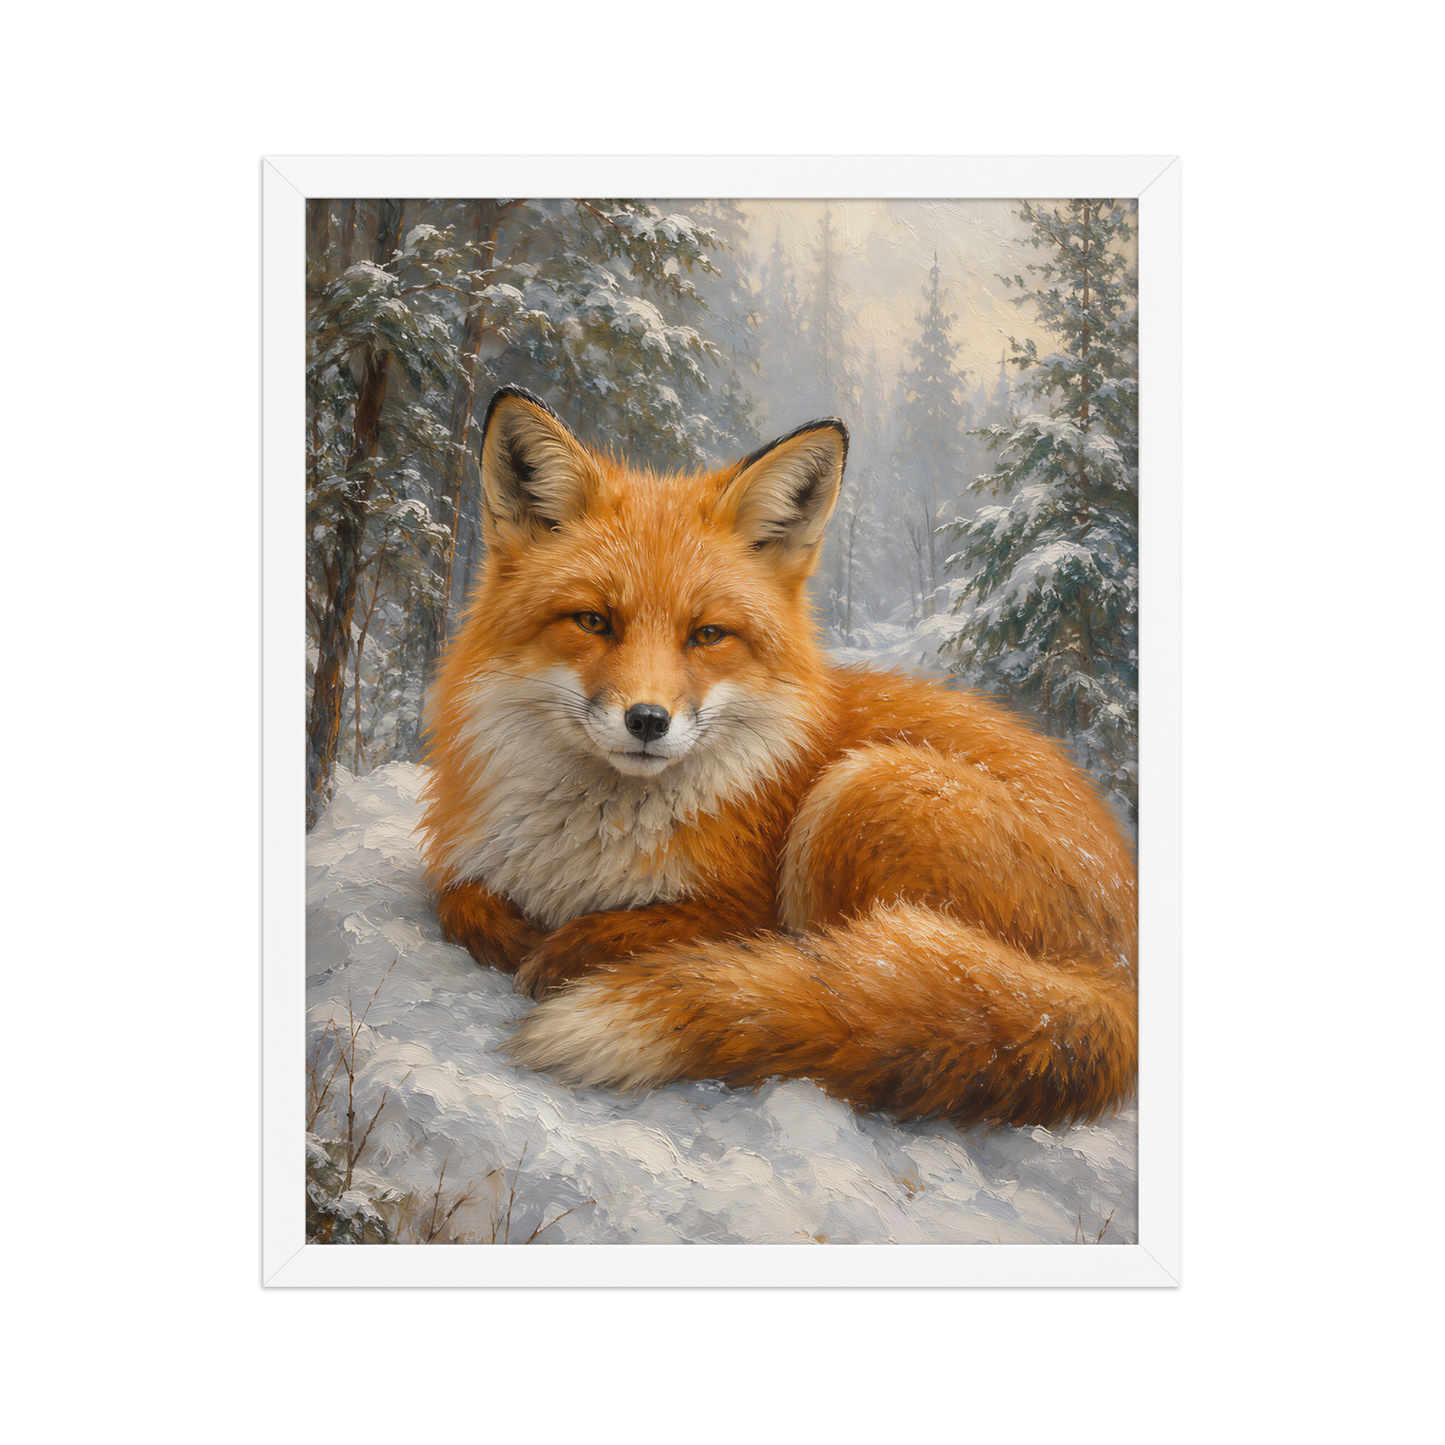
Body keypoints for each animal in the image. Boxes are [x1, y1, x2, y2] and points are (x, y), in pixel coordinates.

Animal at [418, 385, 1137, 1131]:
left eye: (708, 634)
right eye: (593, 621)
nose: (647, 721)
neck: (585, 845)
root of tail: (1120, 978)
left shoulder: (742, 905)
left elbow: (651, 928)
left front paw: (568, 950)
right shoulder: (470, 862)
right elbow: (457, 900)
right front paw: (513, 933)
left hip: (861, 790)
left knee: (848, 979)